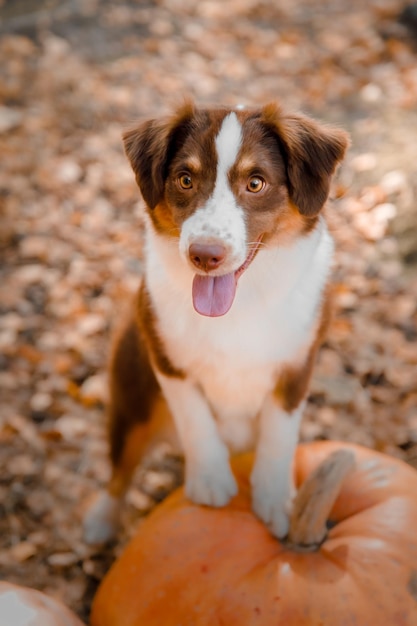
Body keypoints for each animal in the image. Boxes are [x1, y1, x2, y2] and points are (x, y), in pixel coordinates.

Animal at [83, 101, 348, 540]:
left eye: (256, 183)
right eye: (185, 179)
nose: (205, 255)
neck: (240, 304)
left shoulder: (298, 365)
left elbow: (280, 435)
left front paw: (276, 500)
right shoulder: (167, 358)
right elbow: (195, 417)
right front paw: (210, 480)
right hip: (132, 396)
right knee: (121, 467)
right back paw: (101, 520)